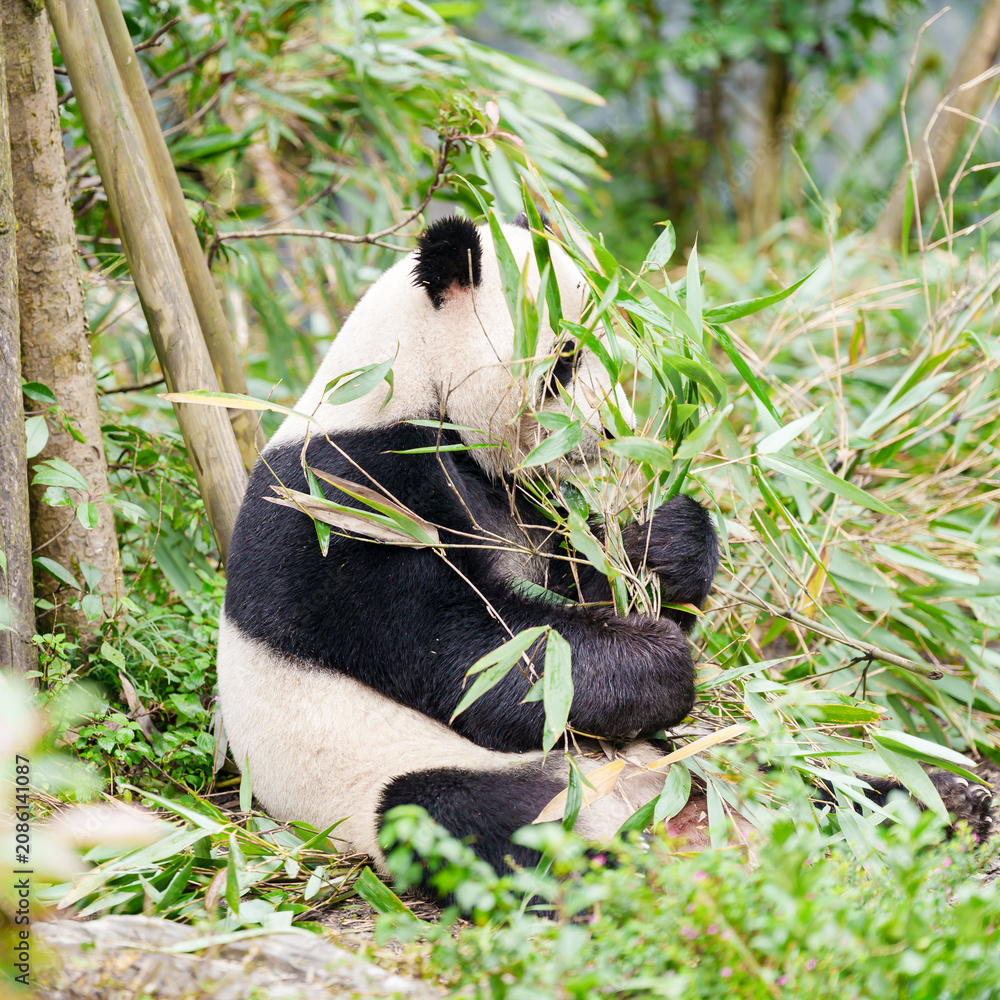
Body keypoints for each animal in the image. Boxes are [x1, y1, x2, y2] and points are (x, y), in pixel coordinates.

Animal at [218, 213, 995, 879]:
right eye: (566, 355)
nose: (615, 430)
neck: (402, 383)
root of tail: (663, 812)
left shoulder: (523, 498)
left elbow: (581, 578)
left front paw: (668, 546)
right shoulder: (341, 500)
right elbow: (471, 652)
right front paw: (662, 664)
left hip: (715, 764)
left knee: (807, 781)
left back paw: (947, 806)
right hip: (397, 771)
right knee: (464, 816)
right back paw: (618, 877)